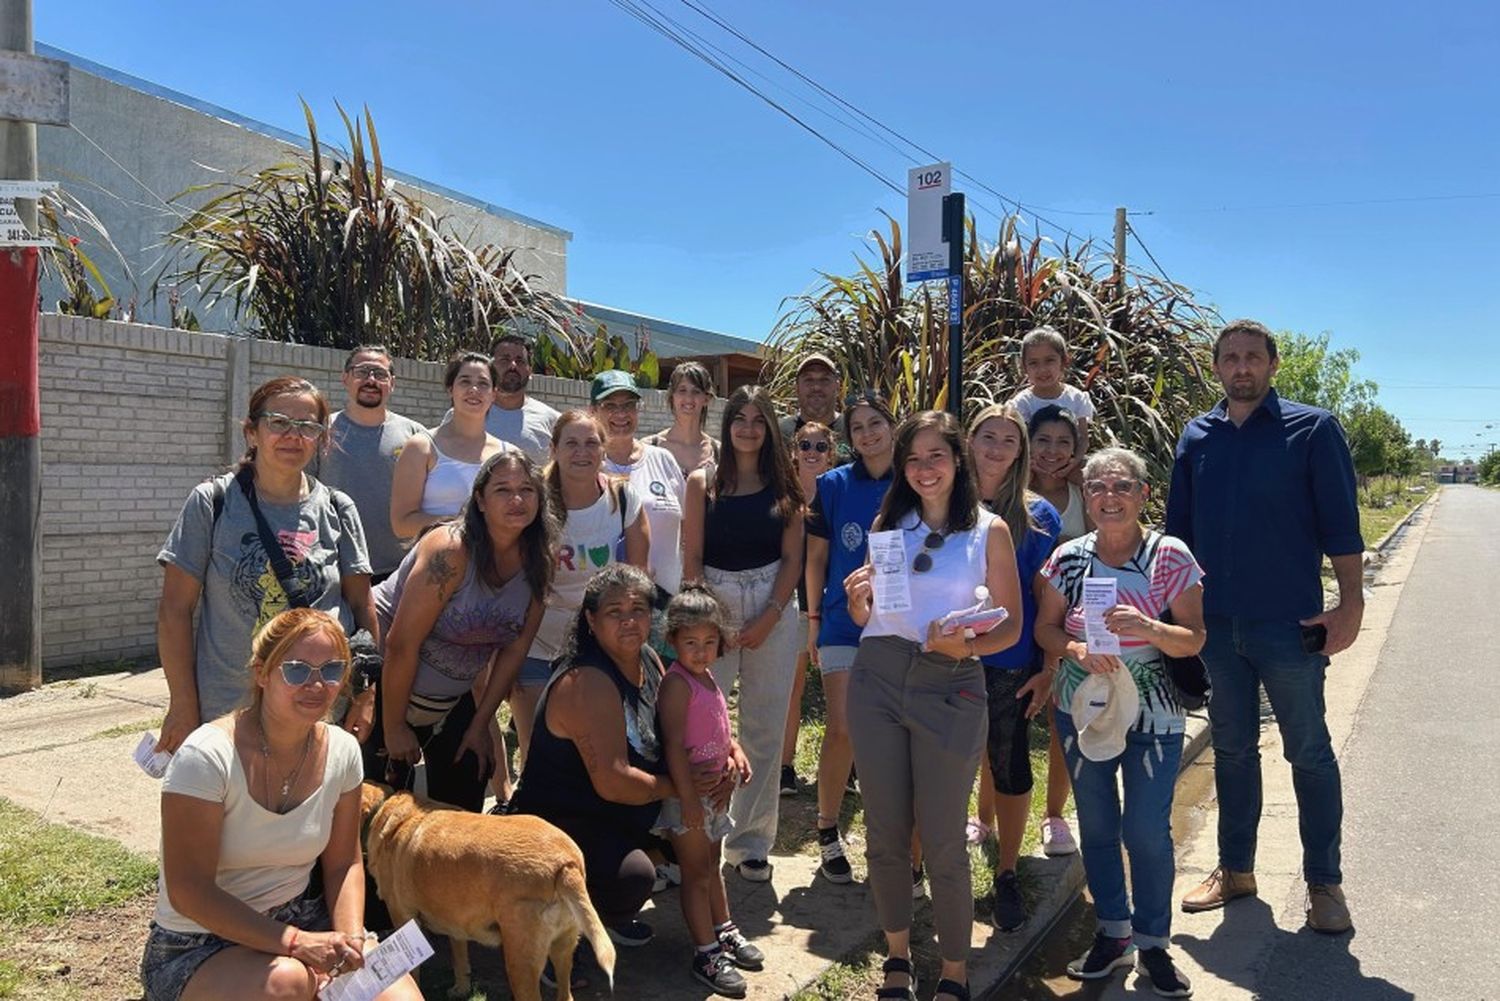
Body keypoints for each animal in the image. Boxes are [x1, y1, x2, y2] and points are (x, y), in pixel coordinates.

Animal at [360, 786, 612, 996]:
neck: (383, 810)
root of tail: (566, 864)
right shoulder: (455, 922)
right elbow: (460, 958)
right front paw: (461, 989)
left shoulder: (403, 918)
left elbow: (414, 973)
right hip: (563, 949)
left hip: (520, 962)